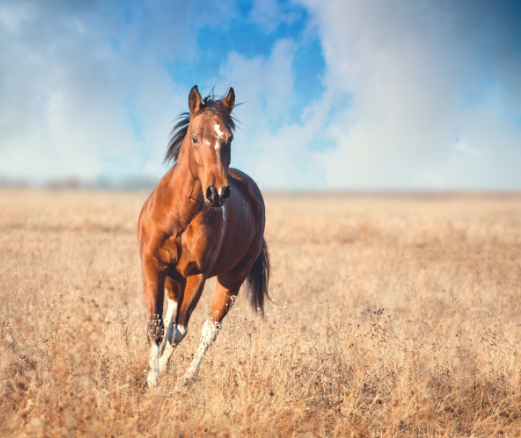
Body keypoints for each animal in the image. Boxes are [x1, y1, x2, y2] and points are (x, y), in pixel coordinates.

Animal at [136, 85, 270, 386]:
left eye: (229, 138)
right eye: (195, 137)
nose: (217, 192)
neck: (179, 217)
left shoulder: (196, 275)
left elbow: (180, 331)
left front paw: (158, 377)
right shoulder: (153, 265)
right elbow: (156, 326)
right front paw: (152, 377)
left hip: (230, 281)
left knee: (210, 330)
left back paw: (187, 379)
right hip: (174, 279)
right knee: (170, 319)